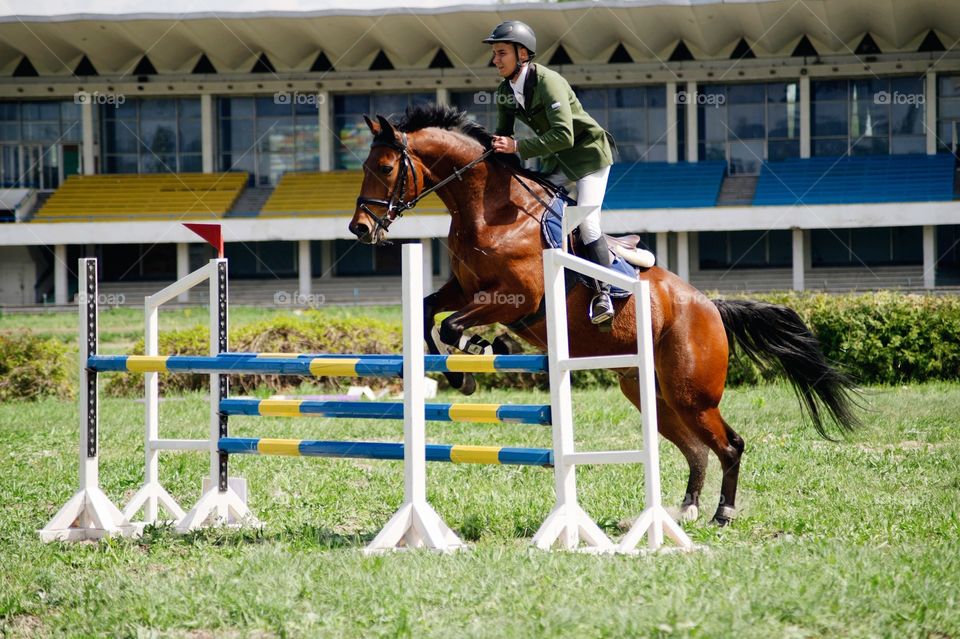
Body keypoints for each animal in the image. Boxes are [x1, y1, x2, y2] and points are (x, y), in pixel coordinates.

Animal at [346, 104, 864, 524]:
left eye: (386, 166)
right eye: (364, 166)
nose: (360, 228)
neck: (491, 211)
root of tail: (711, 307)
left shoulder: (516, 297)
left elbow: (455, 325)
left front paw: (483, 350)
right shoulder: (464, 288)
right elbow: (430, 311)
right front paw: (464, 370)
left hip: (693, 394)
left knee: (728, 445)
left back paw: (723, 513)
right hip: (651, 393)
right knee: (696, 448)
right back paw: (687, 510)